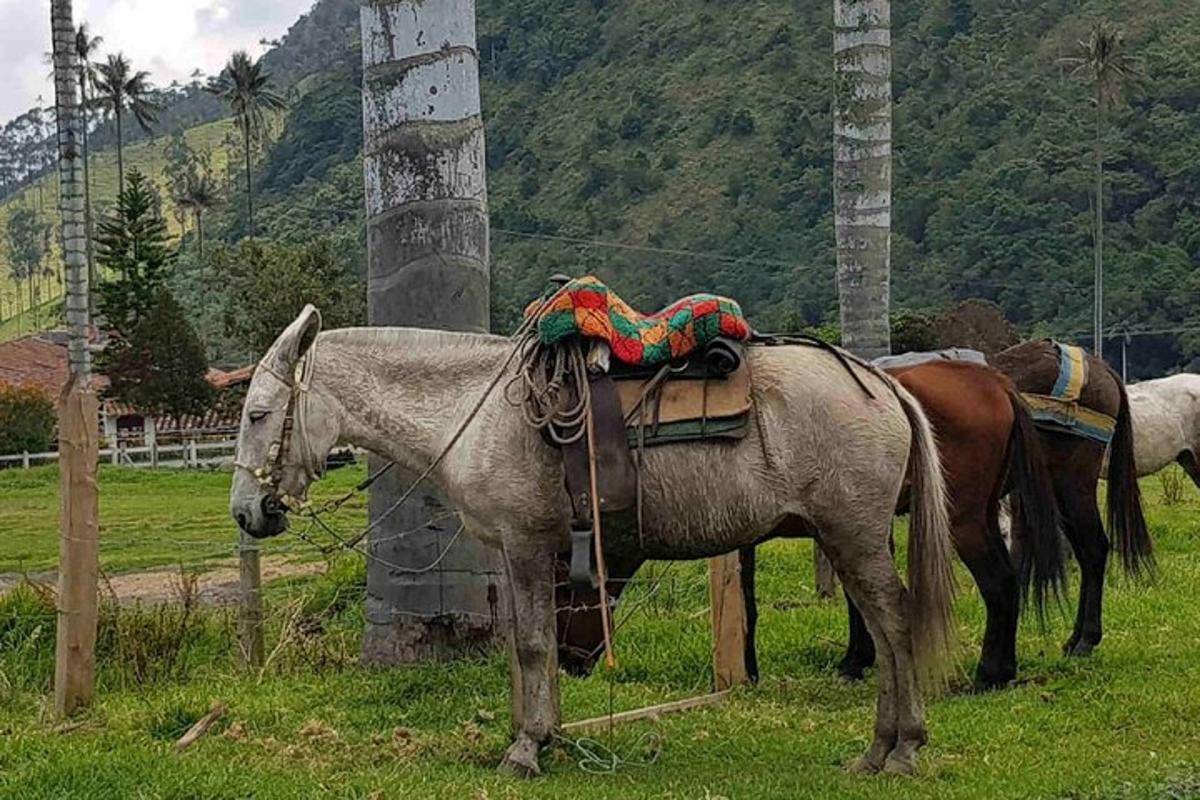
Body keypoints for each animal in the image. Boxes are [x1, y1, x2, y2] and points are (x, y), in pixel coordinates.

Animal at [229, 304, 960, 777]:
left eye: (259, 414)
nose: (246, 512)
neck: (475, 409)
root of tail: (882, 384)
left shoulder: (526, 544)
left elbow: (531, 645)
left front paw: (526, 750)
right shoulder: (522, 552)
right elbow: (534, 646)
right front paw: (543, 736)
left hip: (853, 535)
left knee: (895, 623)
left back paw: (903, 748)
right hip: (845, 539)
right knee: (882, 628)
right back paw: (877, 749)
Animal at [556, 359, 1065, 690]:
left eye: (564, 594)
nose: (568, 664)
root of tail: (996, 383)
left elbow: (751, 601)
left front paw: (753, 668)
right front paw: (855, 660)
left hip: (964, 520)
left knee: (1000, 583)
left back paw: (991, 673)